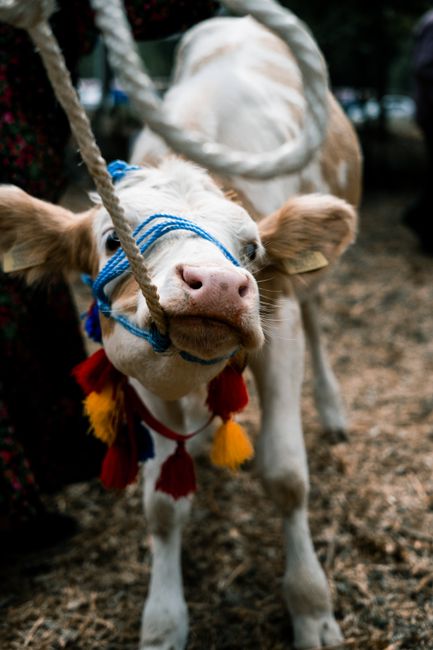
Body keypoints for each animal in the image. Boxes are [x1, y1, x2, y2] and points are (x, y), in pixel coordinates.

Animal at [0, 15, 361, 650]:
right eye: (113, 239)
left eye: (252, 249)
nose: (216, 285)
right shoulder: (137, 367)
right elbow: (164, 506)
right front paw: (164, 620)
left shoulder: (280, 328)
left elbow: (287, 476)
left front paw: (312, 608)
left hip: (311, 292)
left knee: (320, 324)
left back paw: (333, 410)